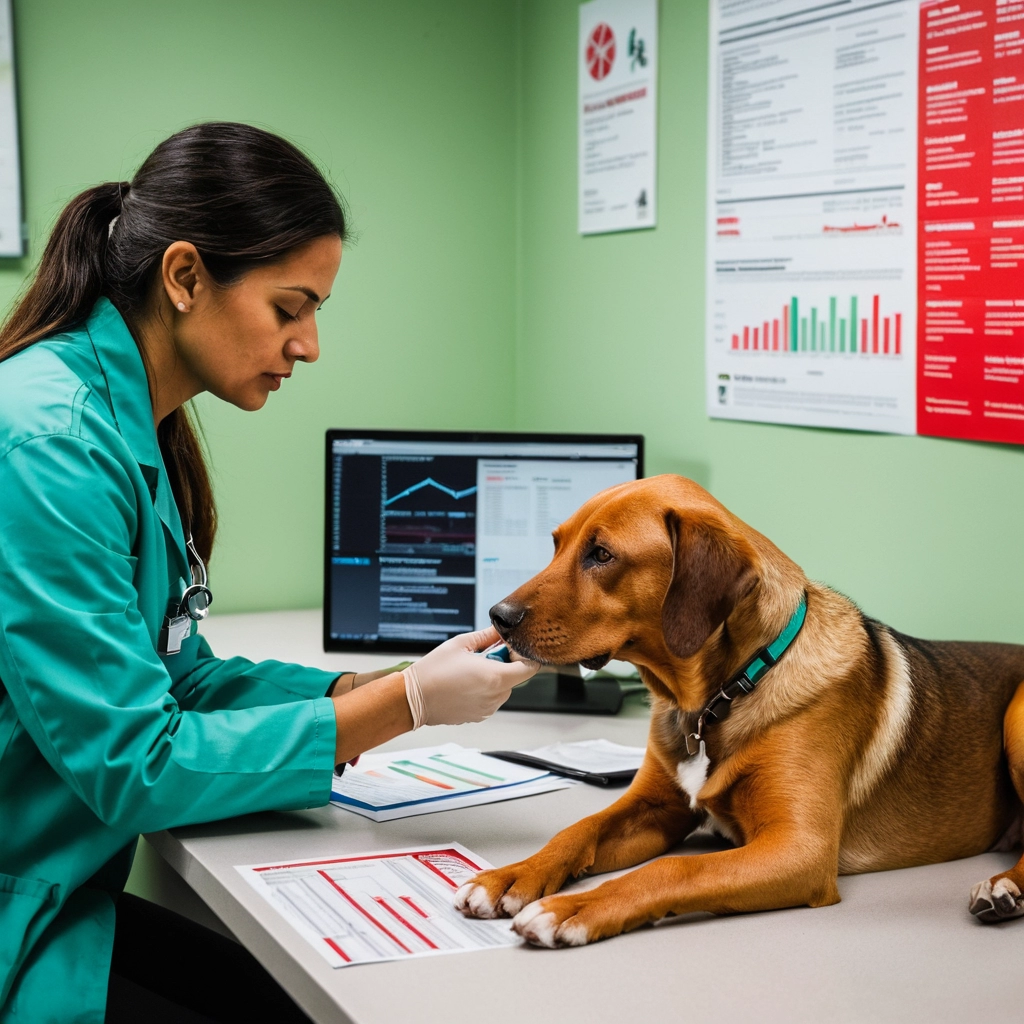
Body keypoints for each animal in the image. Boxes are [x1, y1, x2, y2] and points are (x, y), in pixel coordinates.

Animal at [454, 475, 1024, 946]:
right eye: (556, 544)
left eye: (601, 554)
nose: (498, 616)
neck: (718, 699)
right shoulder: (656, 809)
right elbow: (578, 829)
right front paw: (511, 875)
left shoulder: (800, 850)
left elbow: (672, 871)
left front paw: (573, 909)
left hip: (1016, 716)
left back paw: (1002, 889)